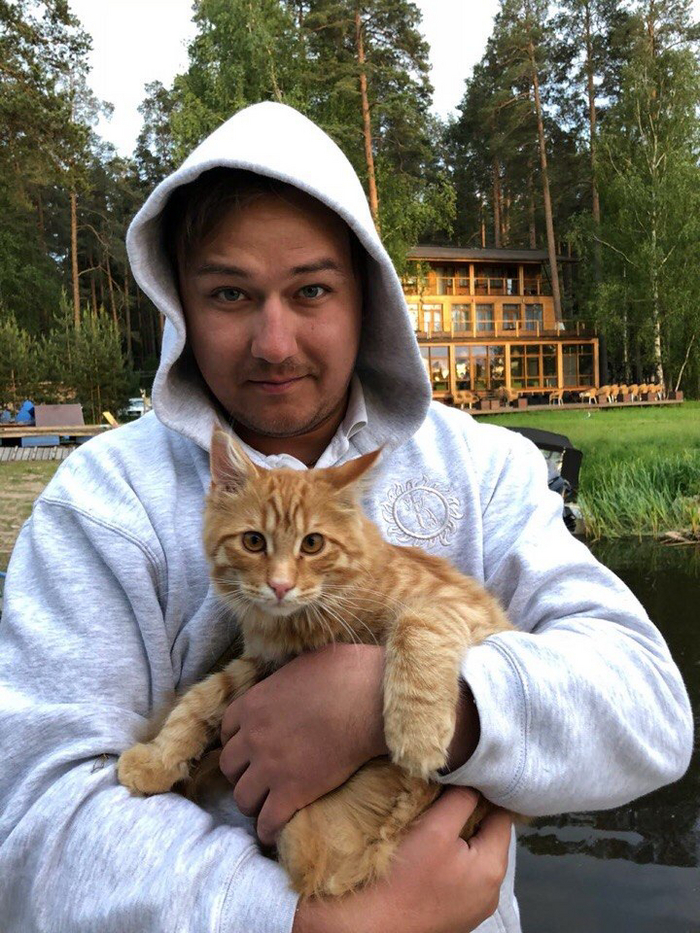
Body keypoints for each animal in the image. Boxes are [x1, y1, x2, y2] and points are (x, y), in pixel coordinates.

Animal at [117, 427, 514, 898]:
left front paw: (417, 734)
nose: (280, 586)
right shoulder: (261, 665)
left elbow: (416, 627)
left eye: (312, 543)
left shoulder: (458, 607)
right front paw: (157, 761)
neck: (304, 624)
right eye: (253, 541)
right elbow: (200, 700)